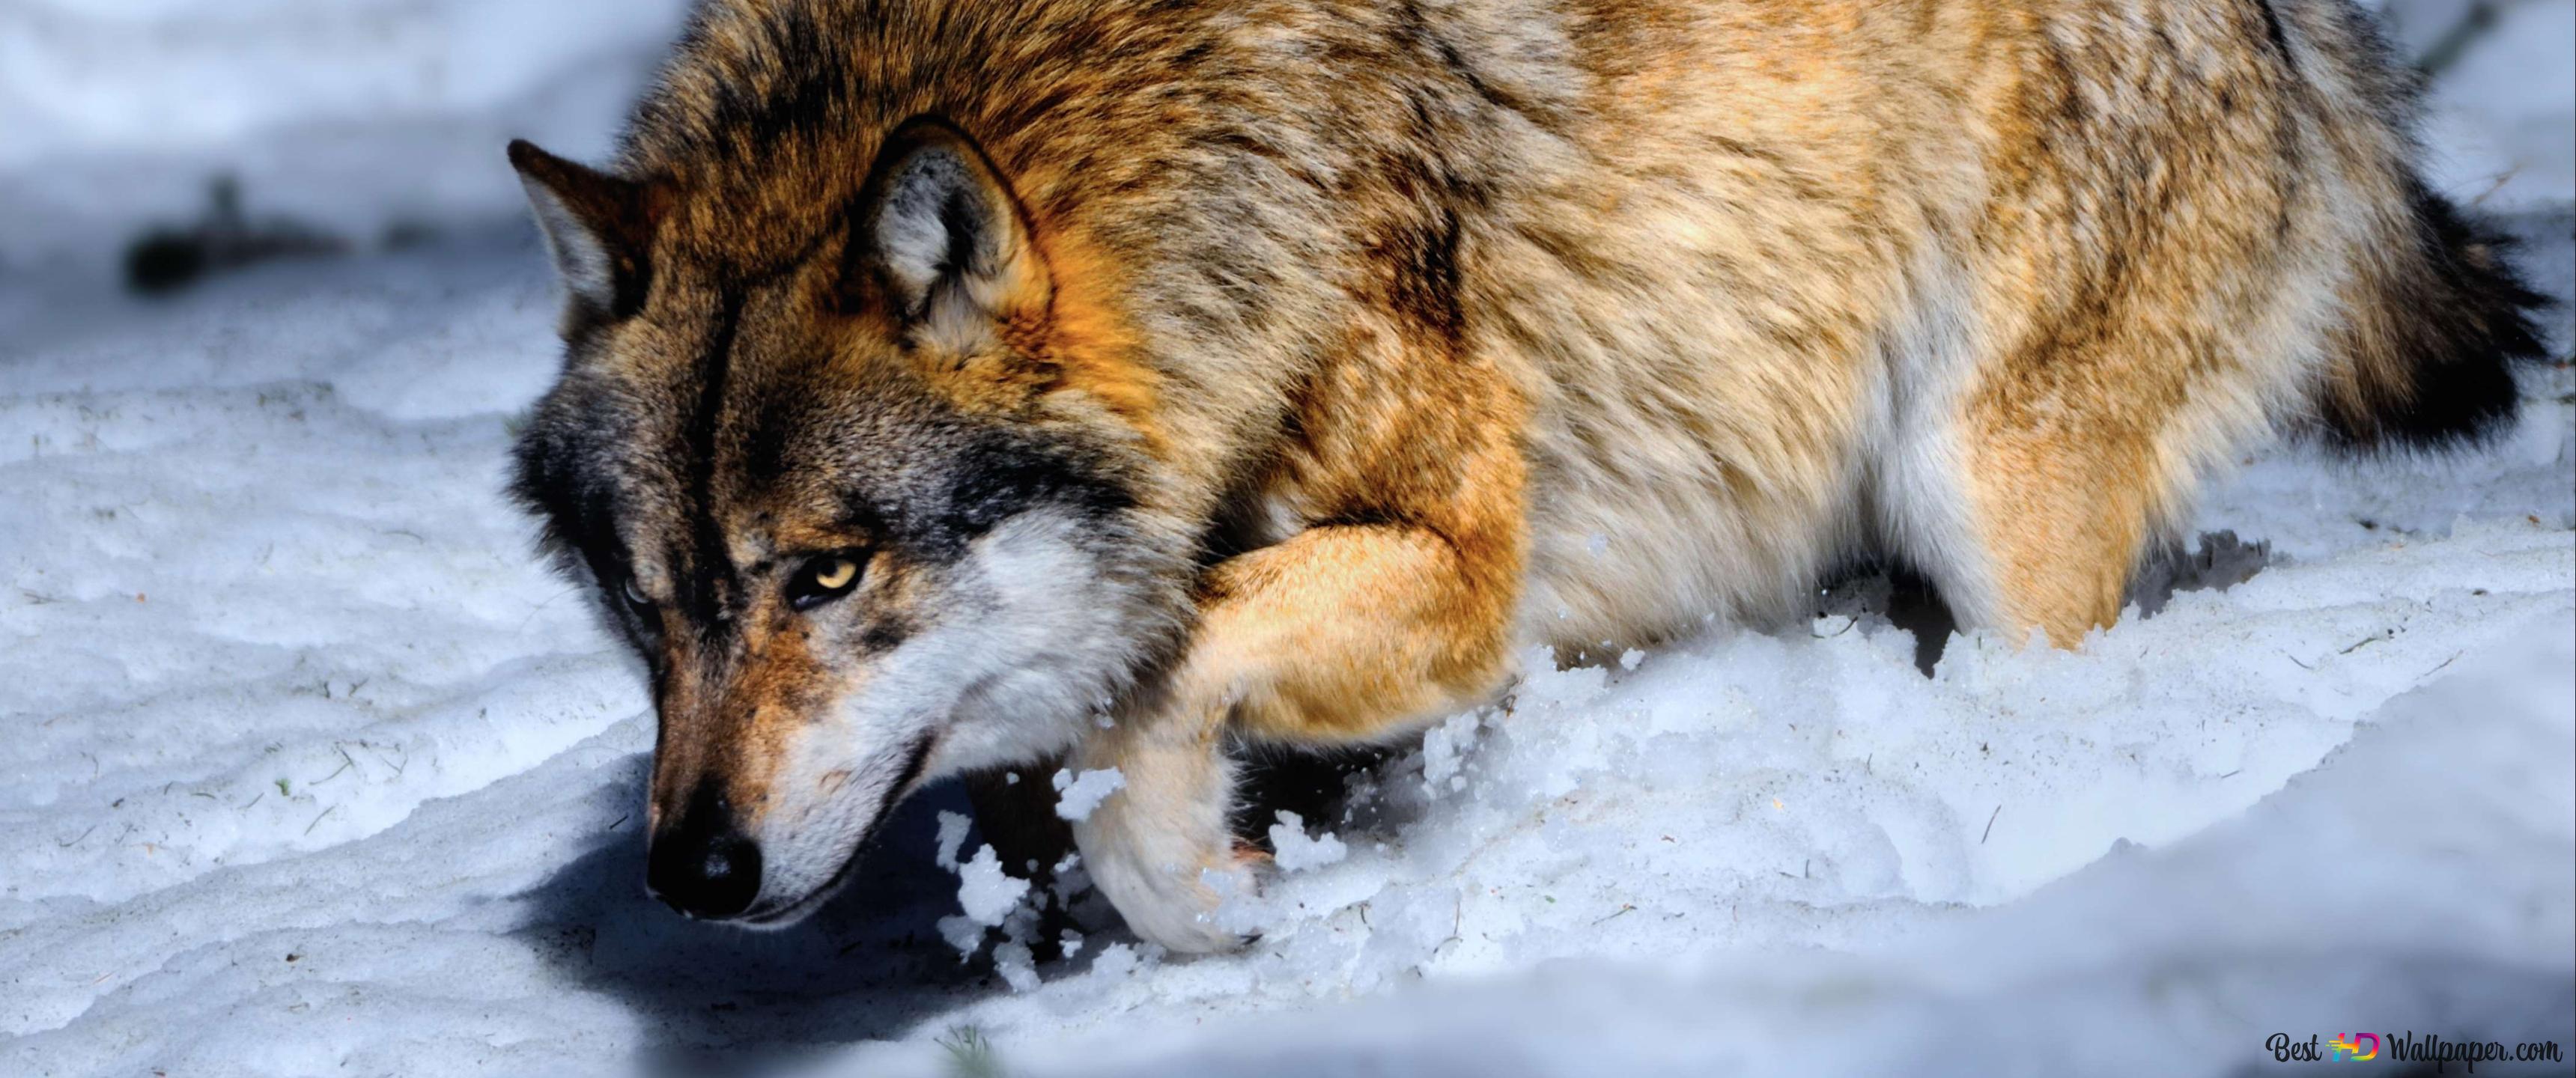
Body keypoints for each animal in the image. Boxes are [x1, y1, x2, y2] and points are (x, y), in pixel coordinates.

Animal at [505, 0, 2545, 952]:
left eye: (828, 572)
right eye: (648, 602)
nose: (688, 873)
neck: (1210, 204)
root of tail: (2321, 45)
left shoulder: (1462, 565)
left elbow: (1168, 670)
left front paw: (1194, 890)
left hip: (1985, 490)